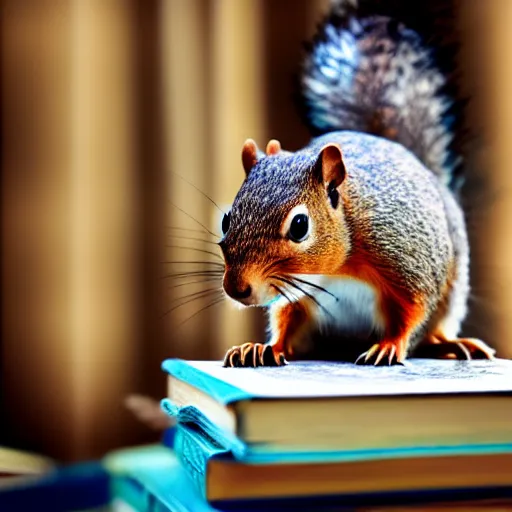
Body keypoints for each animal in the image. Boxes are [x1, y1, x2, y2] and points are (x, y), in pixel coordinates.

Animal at [220, 0, 496, 368]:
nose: (237, 288)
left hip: (452, 294)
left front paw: (389, 345)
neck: (334, 269)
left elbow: (412, 310)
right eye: (226, 220)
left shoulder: (406, 259)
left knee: (433, 329)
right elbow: (287, 324)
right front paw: (265, 347)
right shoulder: (296, 297)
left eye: (299, 226)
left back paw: (450, 344)